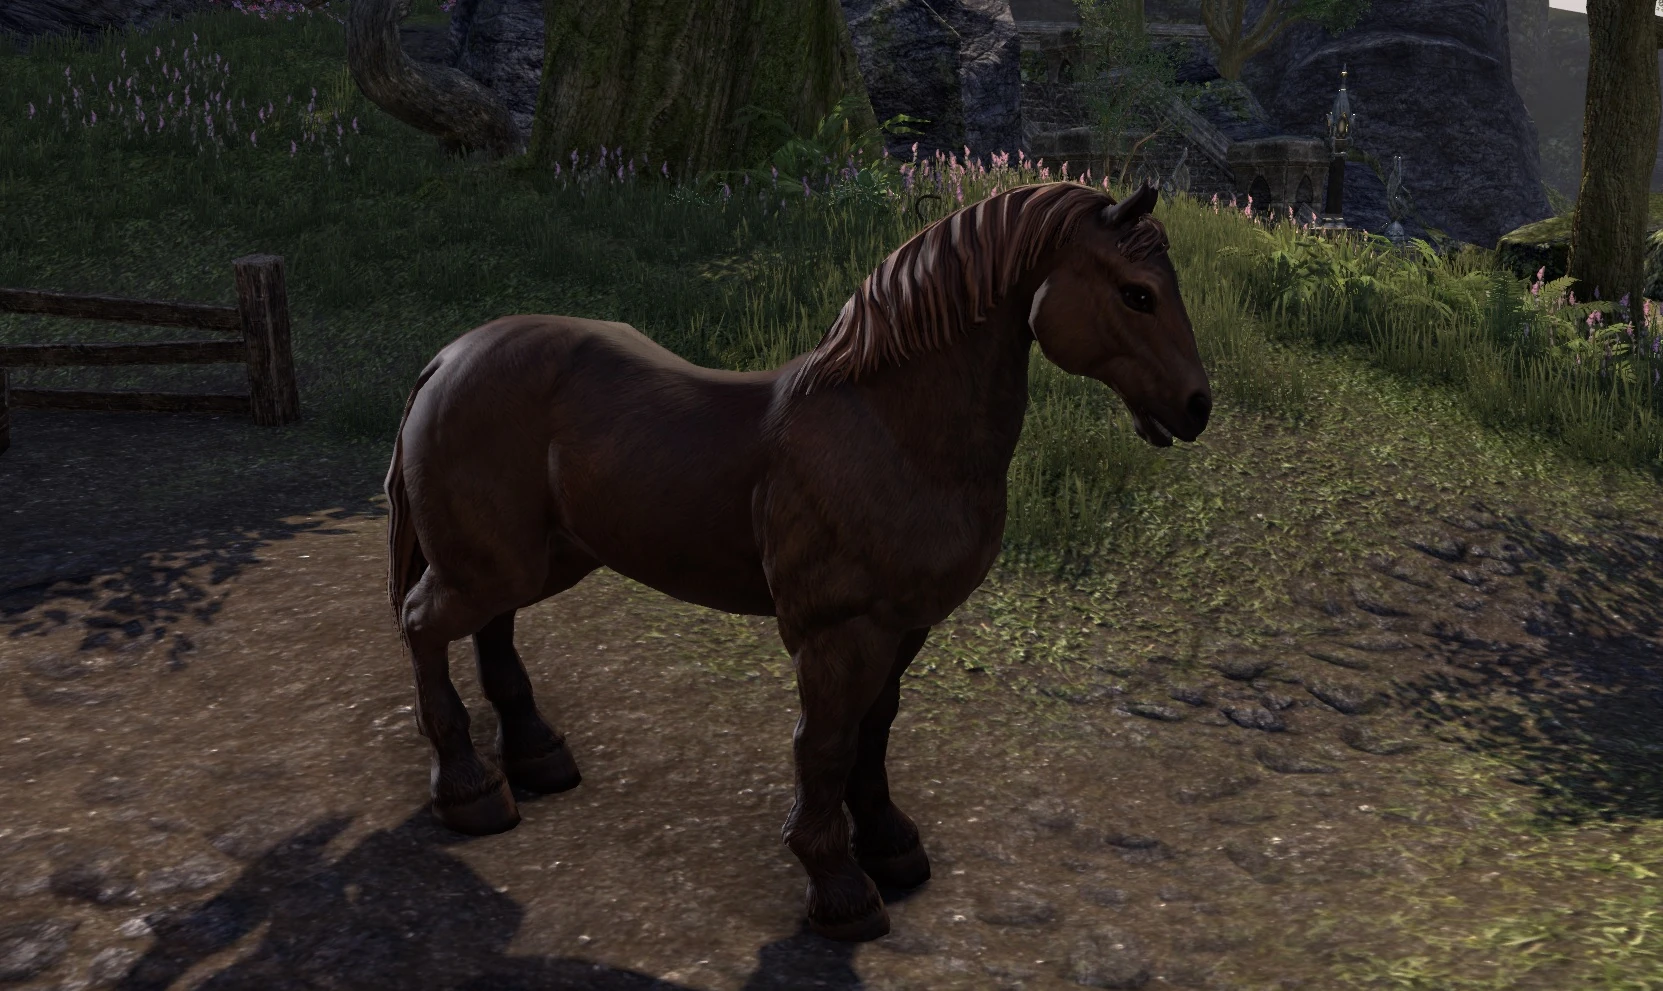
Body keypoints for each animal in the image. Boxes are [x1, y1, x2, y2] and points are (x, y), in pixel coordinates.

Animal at [384, 179, 1211, 942]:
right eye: (1136, 294)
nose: (1196, 407)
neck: (891, 431)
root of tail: (448, 358)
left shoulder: (901, 627)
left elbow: (875, 731)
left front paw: (891, 846)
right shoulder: (837, 633)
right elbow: (825, 745)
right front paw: (840, 889)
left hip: (536, 558)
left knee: (492, 628)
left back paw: (538, 756)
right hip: (490, 563)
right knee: (422, 624)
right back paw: (470, 792)